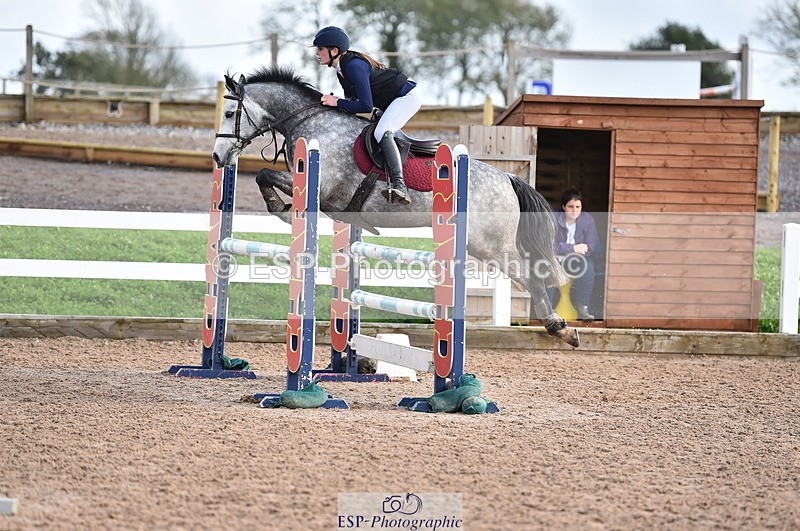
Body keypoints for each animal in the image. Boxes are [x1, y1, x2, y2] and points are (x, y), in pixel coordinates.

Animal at [211, 65, 579, 348]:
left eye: (230, 113)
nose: (217, 157)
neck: (311, 124)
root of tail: (507, 178)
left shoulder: (320, 188)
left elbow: (264, 174)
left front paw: (281, 207)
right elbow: (264, 175)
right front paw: (281, 207)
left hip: (490, 244)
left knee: (530, 275)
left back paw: (560, 328)